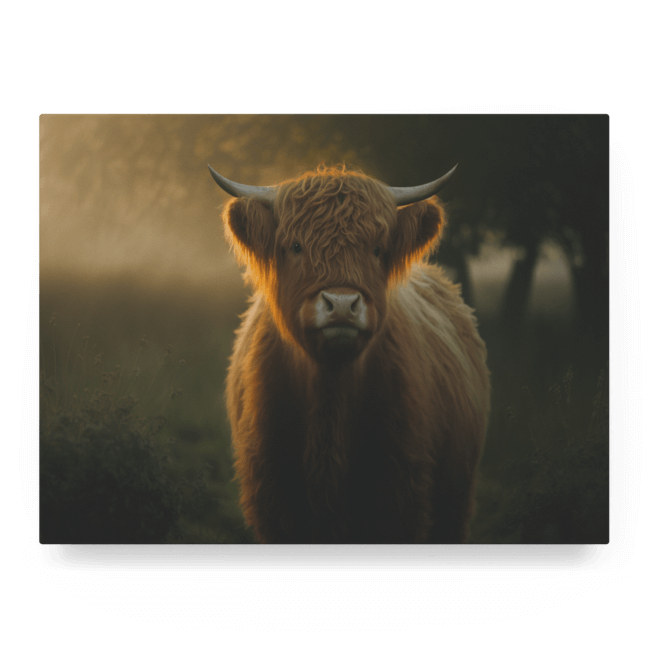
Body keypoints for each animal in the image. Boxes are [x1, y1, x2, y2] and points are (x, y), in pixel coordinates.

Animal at [209, 162, 490, 544]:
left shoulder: (400, 502)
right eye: (295, 246)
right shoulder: (275, 505)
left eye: (377, 248)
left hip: (455, 499)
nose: (341, 305)